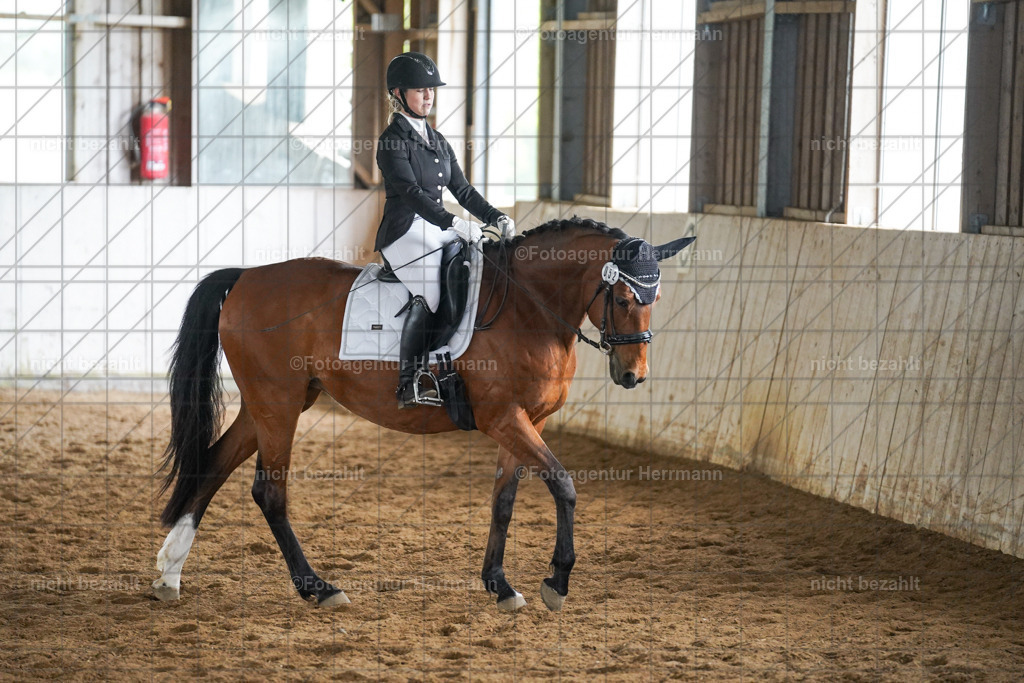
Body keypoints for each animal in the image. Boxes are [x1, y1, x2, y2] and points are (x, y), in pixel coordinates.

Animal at [152, 216, 694, 612]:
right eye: (621, 297)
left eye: (655, 298)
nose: (633, 375)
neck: (528, 308)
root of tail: (246, 275)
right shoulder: (504, 418)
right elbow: (563, 484)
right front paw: (556, 581)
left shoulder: (527, 422)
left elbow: (504, 501)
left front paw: (499, 584)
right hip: (279, 404)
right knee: (269, 492)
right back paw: (317, 587)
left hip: (271, 403)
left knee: (214, 463)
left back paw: (169, 574)